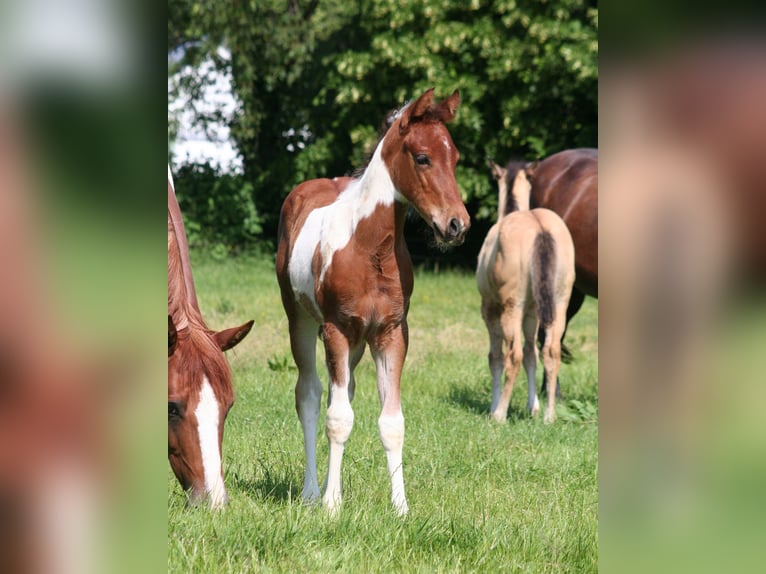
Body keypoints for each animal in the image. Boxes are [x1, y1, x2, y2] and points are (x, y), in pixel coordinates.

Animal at [276, 88, 469, 516]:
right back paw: (312, 491)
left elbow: (390, 422)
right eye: (422, 157)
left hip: (358, 343)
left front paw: (401, 507)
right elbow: (335, 418)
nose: (457, 225)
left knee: (343, 393)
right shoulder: (335, 329)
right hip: (301, 321)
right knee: (310, 396)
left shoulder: (390, 333)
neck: (370, 248)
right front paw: (331, 504)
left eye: (456, 158)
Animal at [477, 166, 575, 423]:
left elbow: (496, 358)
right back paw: (549, 416)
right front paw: (534, 407)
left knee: (513, 356)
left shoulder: (490, 308)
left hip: (511, 309)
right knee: (551, 351)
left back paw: (500, 414)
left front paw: (493, 406)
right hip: (558, 305)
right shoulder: (532, 313)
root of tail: (541, 229)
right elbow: (533, 356)